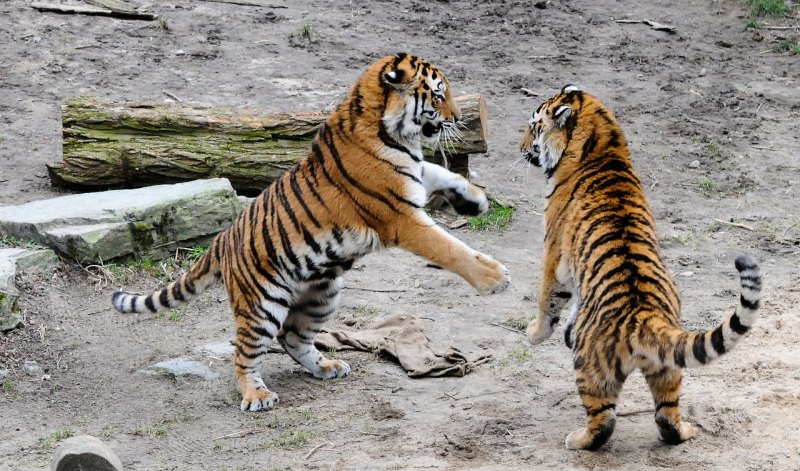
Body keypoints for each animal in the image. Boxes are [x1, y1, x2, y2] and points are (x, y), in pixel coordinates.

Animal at [112, 53, 511, 412]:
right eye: (439, 95)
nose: (458, 119)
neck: (394, 134)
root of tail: (221, 239)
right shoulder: (401, 217)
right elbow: (449, 247)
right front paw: (495, 277)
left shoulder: (413, 177)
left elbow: (443, 173)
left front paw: (474, 199)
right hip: (262, 305)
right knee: (244, 354)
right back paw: (257, 396)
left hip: (323, 293)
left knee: (292, 337)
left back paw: (327, 366)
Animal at [519, 85, 762, 450]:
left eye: (534, 126)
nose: (520, 148)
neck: (603, 143)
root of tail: (643, 316)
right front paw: (567, 329)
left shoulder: (553, 253)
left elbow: (548, 297)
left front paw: (535, 332)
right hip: (668, 370)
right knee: (667, 414)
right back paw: (685, 431)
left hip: (591, 370)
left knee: (604, 420)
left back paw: (577, 439)